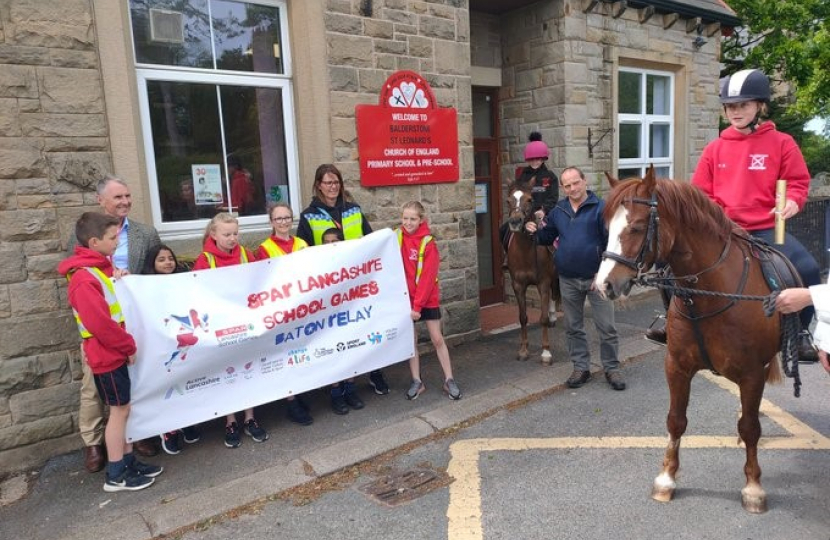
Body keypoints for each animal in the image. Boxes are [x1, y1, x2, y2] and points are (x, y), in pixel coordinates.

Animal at [504, 180, 564, 362]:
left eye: (530, 199)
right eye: (508, 200)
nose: (515, 221)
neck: (525, 250)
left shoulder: (542, 283)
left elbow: (542, 317)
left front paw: (546, 352)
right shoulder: (518, 285)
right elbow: (523, 317)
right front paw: (523, 350)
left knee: (554, 294)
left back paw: (553, 316)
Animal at [596, 170, 784, 516]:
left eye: (637, 227)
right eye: (608, 227)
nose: (604, 285)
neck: (710, 294)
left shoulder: (753, 371)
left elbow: (751, 428)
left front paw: (753, 487)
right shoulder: (677, 366)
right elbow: (676, 420)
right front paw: (666, 478)